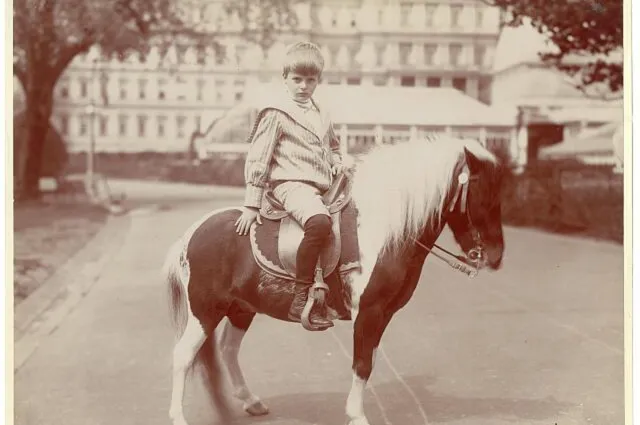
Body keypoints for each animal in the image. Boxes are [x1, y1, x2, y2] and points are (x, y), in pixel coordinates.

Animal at [163, 135, 506, 425]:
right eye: (481, 196)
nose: (496, 256)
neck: (384, 232)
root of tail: (190, 234)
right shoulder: (368, 313)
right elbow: (362, 364)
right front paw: (357, 416)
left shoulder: (382, 315)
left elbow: (367, 363)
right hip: (206, 310)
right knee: (182, 356)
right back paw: (178, 416)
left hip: (240, 308)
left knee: (227, 351)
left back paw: (251, 401)